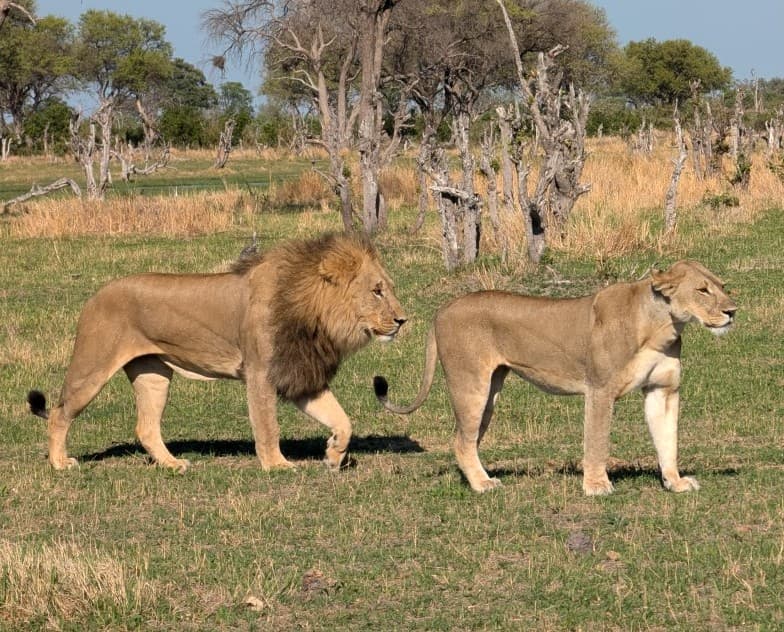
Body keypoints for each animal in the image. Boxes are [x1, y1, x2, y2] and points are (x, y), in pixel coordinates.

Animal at [28, 232, 407, 473]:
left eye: (387, 288)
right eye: (377, 291)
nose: (403, 320)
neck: (316, 317)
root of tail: (94, 296)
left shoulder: (300, 375)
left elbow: (343, 420)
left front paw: (333, 455)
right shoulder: (260, 373)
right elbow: (267, 425)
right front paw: (277, 465)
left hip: (153, 375)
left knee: (146, 427)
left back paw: (172, 465)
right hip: (92, 367)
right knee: (60, 413)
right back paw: (59, 463)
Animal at [375, 260, 736, 495]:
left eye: (722, 286)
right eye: (703, 290)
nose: (732, 311)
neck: (662, 325)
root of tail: (442, 309)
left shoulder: (663, 390)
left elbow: (668, 440)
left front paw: (675, 482)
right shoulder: (600, 389)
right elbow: (597, 440)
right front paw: (596, 486)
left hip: (489, 391)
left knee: (467, 438)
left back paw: (477, 477)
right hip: (470, 384)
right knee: (461, 441)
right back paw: (483, 485)